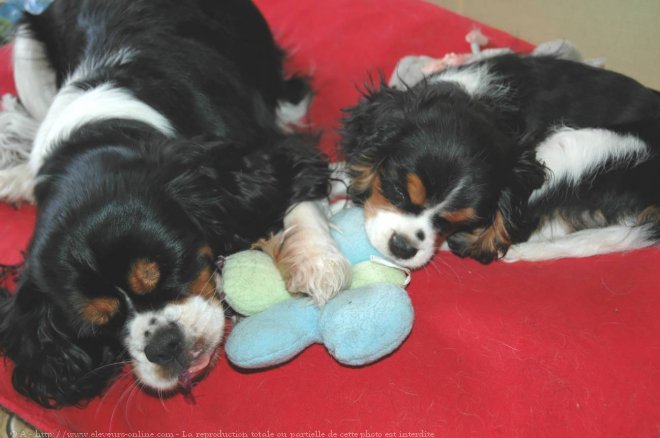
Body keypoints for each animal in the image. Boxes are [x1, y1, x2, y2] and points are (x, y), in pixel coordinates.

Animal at [0, 0, 350, 408]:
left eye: (173, 270)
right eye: (100, 325)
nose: (164, 345)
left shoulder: (259, 149)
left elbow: (291, 192)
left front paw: (315, 261)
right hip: (26, 47)